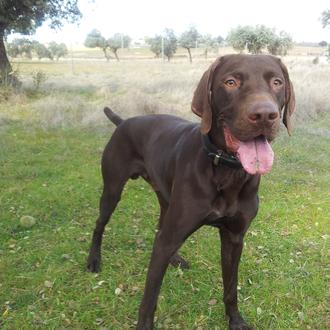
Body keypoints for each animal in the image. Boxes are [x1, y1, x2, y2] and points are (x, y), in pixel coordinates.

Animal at [86, 54, 296, 330]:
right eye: (231, 82)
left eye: (277, 82)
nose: (264, 115)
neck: (225, 171)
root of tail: (123, 122)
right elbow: (149, 298)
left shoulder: (234, 237)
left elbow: (231, 288)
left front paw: (235, 320)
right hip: (112, 189)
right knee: (100, 224)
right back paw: (93, 260)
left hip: (165, 197)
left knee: (160, 225)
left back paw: (174, 258)